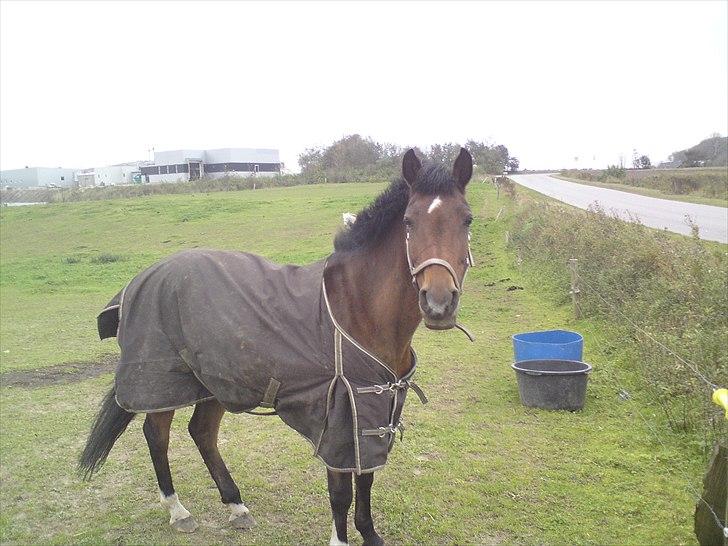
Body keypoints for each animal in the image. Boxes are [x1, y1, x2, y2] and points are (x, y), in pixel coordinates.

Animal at [79, 148, 474, 545]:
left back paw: (236, 506)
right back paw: (178, 511)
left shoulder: (375, 411)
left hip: (217, 381)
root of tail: (143, 277)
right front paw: (341, 539)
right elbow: (341, 492)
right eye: (408, 222)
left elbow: (366, 478)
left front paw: (370, 535)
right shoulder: (340, 414)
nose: (439, 304)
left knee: (202, 433)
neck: (358, 307)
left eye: (467, 220)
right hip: (162, 382)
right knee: (157, 436)